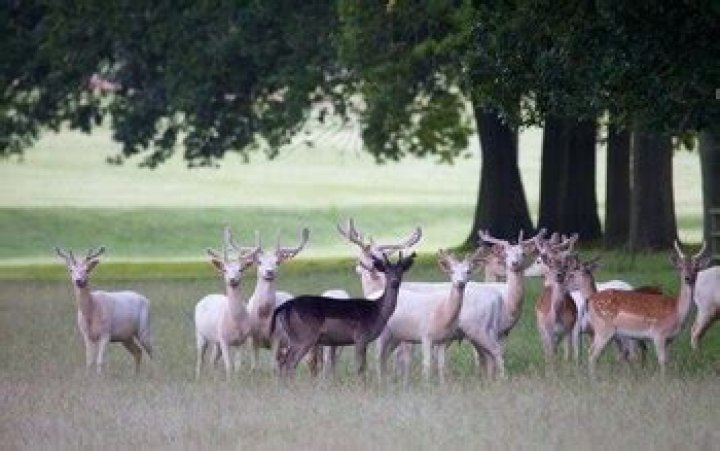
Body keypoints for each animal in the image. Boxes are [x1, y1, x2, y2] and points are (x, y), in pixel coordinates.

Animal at [55, 246, 153, 375]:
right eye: (71, 270)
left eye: (87, 270)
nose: (79, 280)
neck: (92, 311)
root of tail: (146, 299)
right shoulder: (86, 334)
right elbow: (89, 360)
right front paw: (88, 376)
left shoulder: (106, 332)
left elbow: (100, 361)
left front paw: (99, 376)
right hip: (125, 337)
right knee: (138, 352)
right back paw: (136, 374)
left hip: (144, 327)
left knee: (151, 351)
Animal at [194, 227, 260, 379]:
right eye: (225, 269)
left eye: (241, 269)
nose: (232, 279)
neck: (235, 322)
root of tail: (206, 297)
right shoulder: (224, 339)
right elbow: (228, 366)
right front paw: (229, 380)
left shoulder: (242, 340)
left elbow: (237, 366)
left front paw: (236, 379)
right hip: (200, 334)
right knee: (200, 358)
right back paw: (198, 377)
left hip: (216, 340)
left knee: (212, 359)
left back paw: (213, 376)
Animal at [243, 227, 310, 372]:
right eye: (259, 262)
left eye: (277, 262)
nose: (269, 272)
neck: (263, 316)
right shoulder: (252, 337)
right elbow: (254, 366)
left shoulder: (277, 336)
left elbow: (272, 367)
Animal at [270, 252, 416, 378]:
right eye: (386, 271)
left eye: (401, 271)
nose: (394, 281)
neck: (376, 311)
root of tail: (285, 306)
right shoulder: (360, 336)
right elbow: (361, 367)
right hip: (305, 335)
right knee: (289, 362)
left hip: (294, 336)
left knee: (283, 361)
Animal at [586, 241, 710, 377]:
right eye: (680, 267)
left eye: (696, 268)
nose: (688, 278)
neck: (676, 313)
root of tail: (590, 300)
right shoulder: (659, 334)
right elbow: (662, 360)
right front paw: (663, 379)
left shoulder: (669, 339)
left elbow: (668, 360)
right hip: (604, 329)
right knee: (592, 354)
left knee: (593, 352)